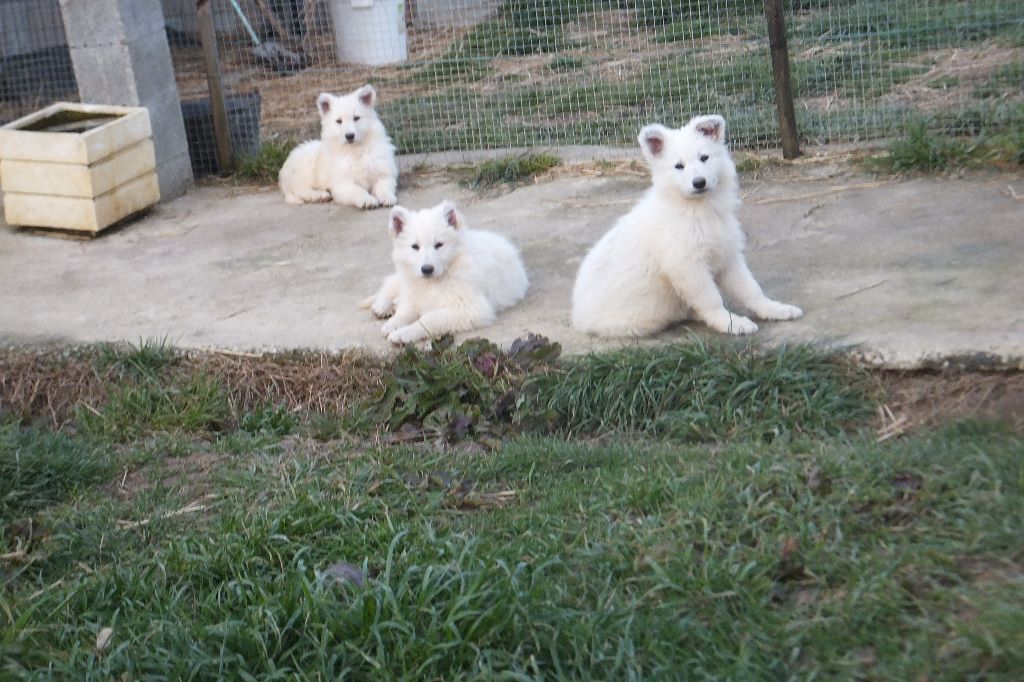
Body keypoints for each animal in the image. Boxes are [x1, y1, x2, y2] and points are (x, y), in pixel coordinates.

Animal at [362, 199, 528, 342]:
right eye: (415, 246)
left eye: (439, 245)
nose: (427, 269)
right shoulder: (415, 293)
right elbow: (406, 311)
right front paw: (394, 323)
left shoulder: (470, 309)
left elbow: (428, 319)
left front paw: (403, 334)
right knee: (392, 282)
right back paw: (382, 305)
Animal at [573, 114, 802, 337]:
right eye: (679, 166)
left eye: (704, 158)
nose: (699, 183)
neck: (697, 209)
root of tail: (578, 318)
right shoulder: (687, 265)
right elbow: (711, 299)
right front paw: (731, 323)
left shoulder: (727, 254)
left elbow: (750, 289)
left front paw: (774, 309)